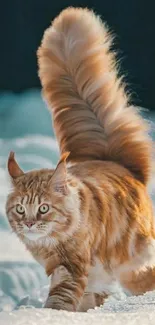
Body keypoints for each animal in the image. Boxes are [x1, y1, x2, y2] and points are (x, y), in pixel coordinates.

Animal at [5, 7, 155, 312]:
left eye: (43, 208)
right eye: (20, 209)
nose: (29, 224)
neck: (50, 243)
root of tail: (116, 162)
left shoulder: (71, 266)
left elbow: (60, 298)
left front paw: (52, 315)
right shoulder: (69, 268)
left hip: (134, 265)